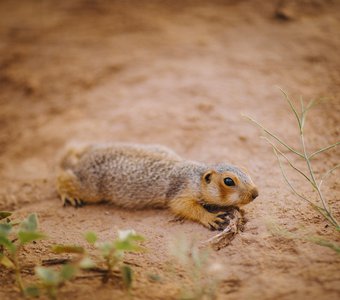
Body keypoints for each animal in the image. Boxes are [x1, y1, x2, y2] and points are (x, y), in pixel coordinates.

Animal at [56, 143, 258, 230]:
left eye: (245, 169)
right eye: (229, 181)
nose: (255, 193)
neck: (195, 174)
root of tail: (85, 155)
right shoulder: (181, 191)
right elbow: (183, 206)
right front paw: (211, 217)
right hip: (90, 187)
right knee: (64, 176)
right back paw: (68, 194)